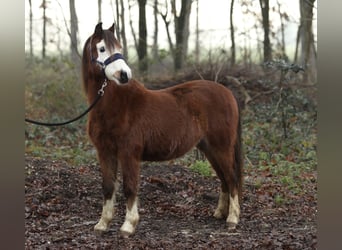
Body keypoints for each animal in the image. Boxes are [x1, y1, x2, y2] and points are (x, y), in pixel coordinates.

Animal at [83, 23, 243, 236]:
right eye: (102, 48)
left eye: (119, 48)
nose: (124, 75)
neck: (115, 104)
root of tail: (228, 93)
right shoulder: (104, 151)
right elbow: (108, 186)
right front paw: (103, 223)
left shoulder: (128, 153)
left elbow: (129, 187)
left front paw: (128, 226)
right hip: (210, 149)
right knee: (224, 179)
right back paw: (220, 214)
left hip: (222, 147)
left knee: (232, 178)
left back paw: (232, 219)